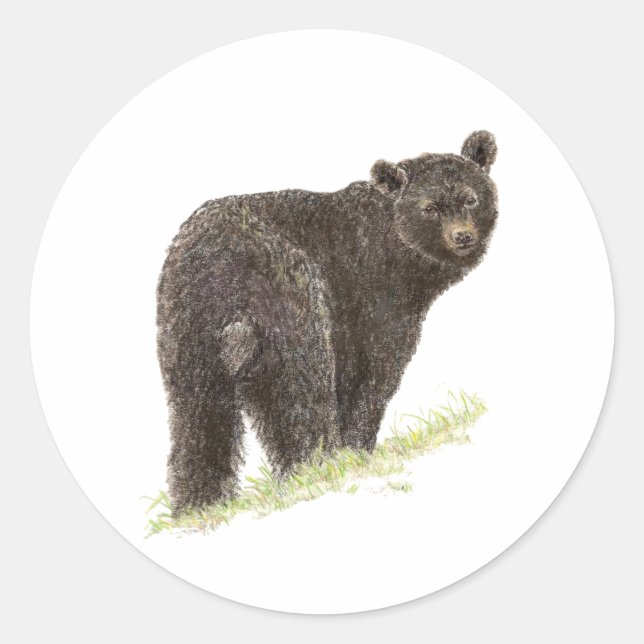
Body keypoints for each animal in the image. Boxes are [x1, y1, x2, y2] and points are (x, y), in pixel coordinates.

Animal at [157, 130, 499, 514]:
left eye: (470, 199)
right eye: (430, 208)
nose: (463, 236)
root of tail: (221, 261)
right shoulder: (370, 299)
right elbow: (376, 372)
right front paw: (355, 450)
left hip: (186, 319)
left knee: (197, 406)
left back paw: (200, 503)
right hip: (288, 290)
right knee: (300, 384)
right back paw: (314, 469)